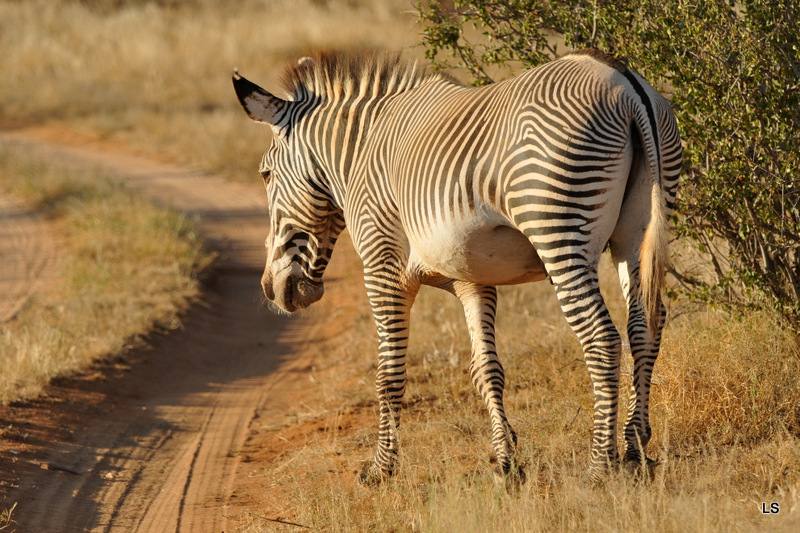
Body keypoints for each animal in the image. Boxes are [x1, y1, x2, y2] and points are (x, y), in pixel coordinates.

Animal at [231, 50, 680, 482]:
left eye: (265, 175)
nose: (272, 289)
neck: (360, 153)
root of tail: (623, 80)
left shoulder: (382, 266)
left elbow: (387, 375)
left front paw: (381, 469)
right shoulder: (470, 277)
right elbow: (486, 368)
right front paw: (506, 461)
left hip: (557, 226)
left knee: (602, 338)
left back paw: (600, 467)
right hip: (634, 232)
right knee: (645, 325)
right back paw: (635, 450)